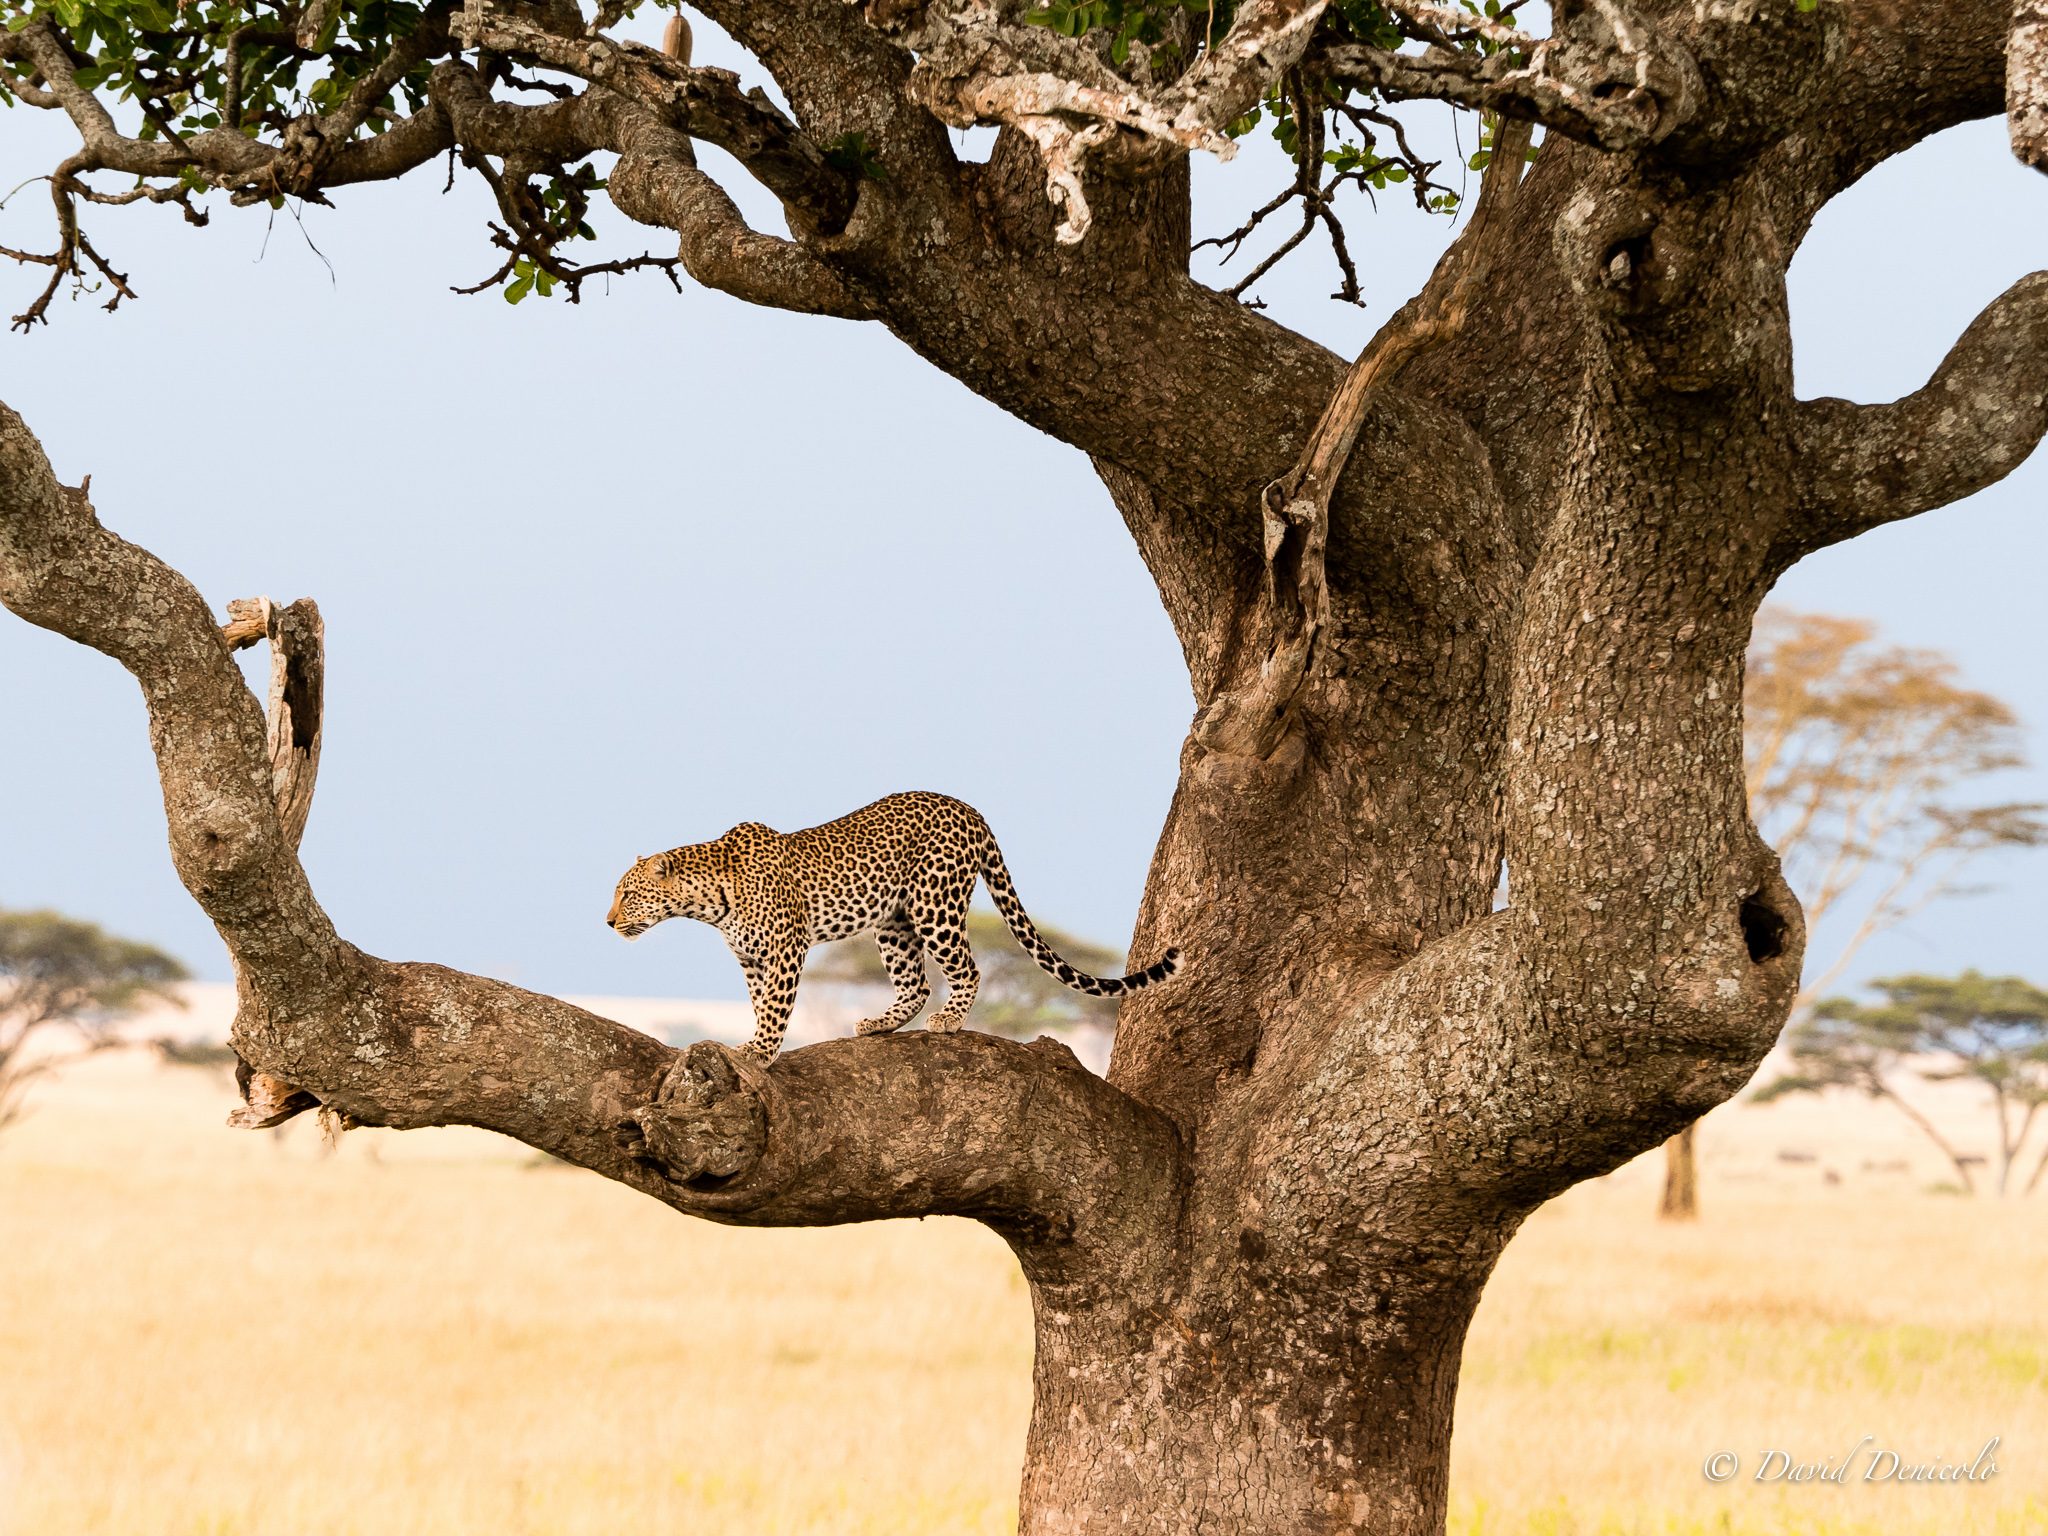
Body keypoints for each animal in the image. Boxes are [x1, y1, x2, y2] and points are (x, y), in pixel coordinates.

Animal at [605, 790, 1183, 1061]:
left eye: (628, 893)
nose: (608, 921)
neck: (707, 901)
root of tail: (968, 808)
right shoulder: (752, 959)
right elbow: (760, 1003)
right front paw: (753, 1044)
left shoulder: (787, 949)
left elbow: (775, 1007)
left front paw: (760, 1053)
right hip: (892, 921)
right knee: (917, 982)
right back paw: (881, 1023)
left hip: (935, 904)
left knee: (968, 969)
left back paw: (948, 1021)